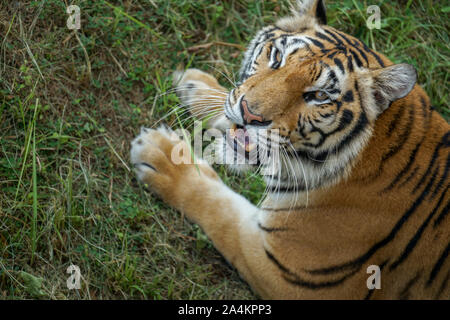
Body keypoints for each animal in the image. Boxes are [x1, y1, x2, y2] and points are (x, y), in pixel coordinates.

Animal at [129, 0, 446, 300]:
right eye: (277, 58)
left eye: (318, 96)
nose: (250, 114)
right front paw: (195, 85)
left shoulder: (290, 274)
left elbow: (219, 209)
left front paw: (162, 156)